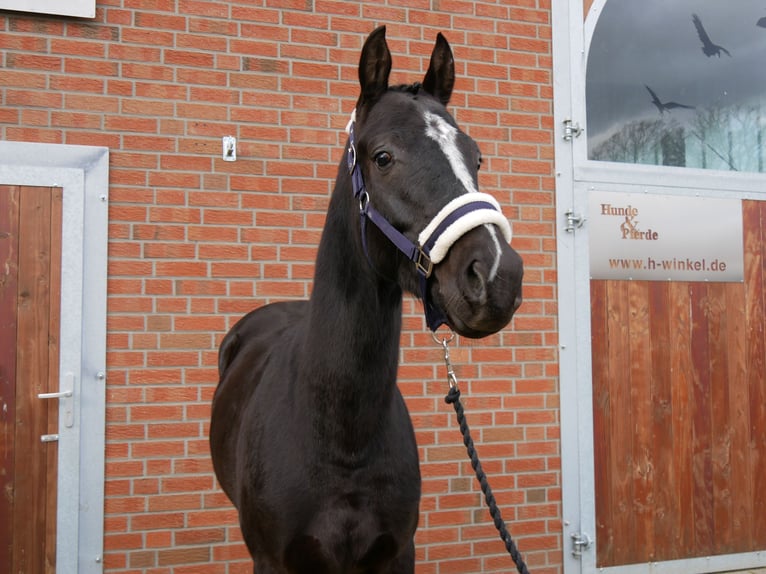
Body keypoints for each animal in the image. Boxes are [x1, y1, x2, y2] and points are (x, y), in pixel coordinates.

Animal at [210, 27, 524, 574]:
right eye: (383, 157)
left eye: (476, 156)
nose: (497, 275)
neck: (341, 440)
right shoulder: (272, 559)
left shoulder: (396, 553)